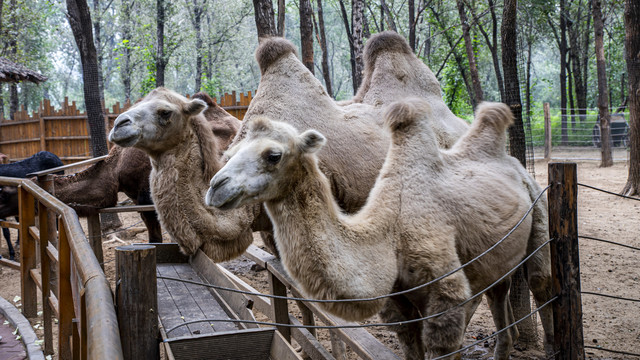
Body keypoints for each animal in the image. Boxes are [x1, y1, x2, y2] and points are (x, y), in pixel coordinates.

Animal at [206, 99, 556, 360]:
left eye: (273, 155)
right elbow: (411, 344)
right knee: (500, 295)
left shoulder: (446, 297)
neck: (389, 236)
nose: (215, 188)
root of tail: (512, 163)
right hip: (493, 261)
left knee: (542, 281)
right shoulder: (398, 306)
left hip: (539, 207)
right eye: (229, 153)